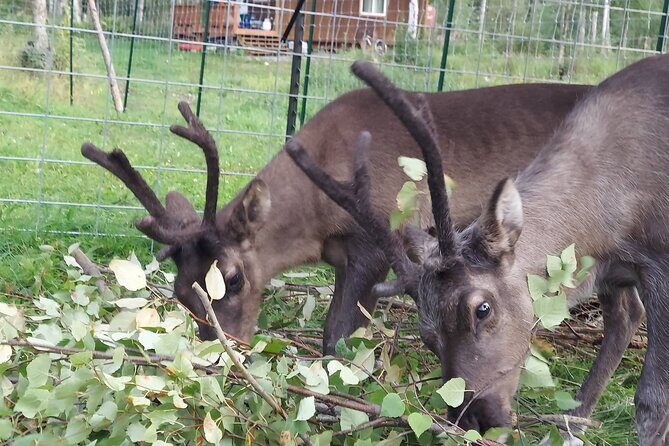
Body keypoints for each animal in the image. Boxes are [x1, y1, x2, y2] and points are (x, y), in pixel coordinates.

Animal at [82, 72, 590, 354]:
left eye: (234, 278)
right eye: (180, 291)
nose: (224, 350)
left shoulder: (377, 243)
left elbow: (338, 334)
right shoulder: (341, 254)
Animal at [286, 55, 669, 443]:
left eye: (481, 309)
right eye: (427, 335)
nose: (474, 418)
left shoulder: (660, 261)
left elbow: (652, 399)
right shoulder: (609, 266)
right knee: (627, 317)